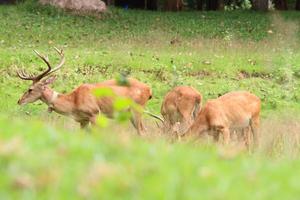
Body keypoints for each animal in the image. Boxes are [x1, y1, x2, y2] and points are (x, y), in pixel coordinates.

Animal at [16, 47, 151, 134]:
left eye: (30, 89)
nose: (19, 101)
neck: (73, 102)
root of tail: (149, 90)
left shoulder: (95, 113)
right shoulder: (83, 120)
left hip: (137, 109)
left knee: (143, 132)